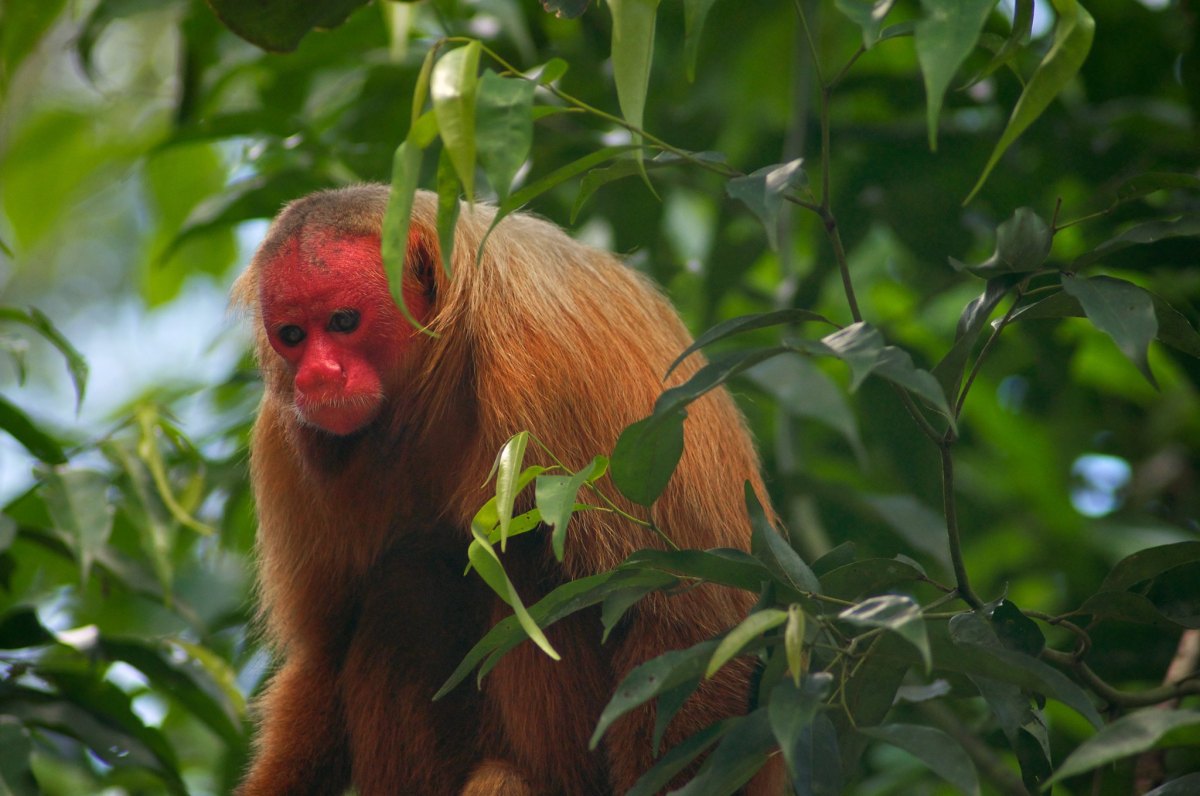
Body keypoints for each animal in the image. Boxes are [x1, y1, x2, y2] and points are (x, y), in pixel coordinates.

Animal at [233, 184, 786, 795]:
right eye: (293, 336)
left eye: (343, 321)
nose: (317, 377)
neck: (433, 379)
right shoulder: (286, 438)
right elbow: (325, 654)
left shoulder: (560, 364)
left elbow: (693, 608)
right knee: (409, 579)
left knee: (516, 558)